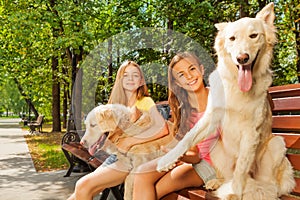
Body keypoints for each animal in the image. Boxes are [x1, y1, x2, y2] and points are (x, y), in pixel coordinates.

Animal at [157, 2, 296, 198]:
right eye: (232, 38)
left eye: (254, 36)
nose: (242, 58)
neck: (237, 88)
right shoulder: (211, 118)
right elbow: (188, 138)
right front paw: (167, 160)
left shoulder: (251, 132)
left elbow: (241, 169)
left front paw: (235, 193)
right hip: (216, 148)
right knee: (227, 176)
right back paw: (215, 182)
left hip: (276, 144)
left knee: (267, 185)